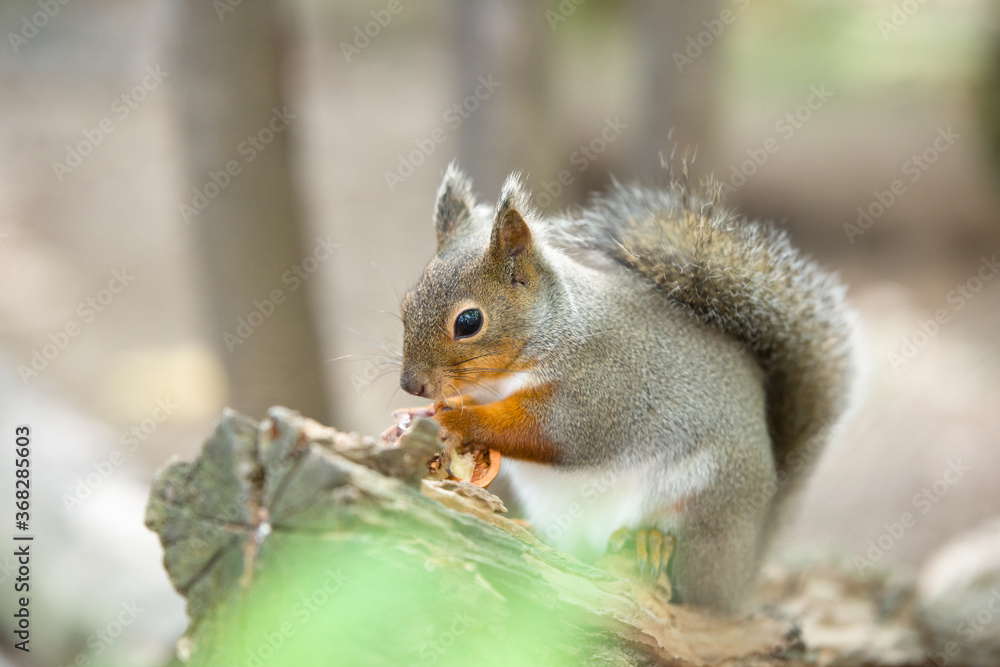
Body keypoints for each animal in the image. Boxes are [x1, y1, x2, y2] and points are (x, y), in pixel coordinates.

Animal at [398, 162, 856, 612]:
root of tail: (742, 575)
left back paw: (651, 546)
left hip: (704, 505)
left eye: (469, 322)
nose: (410, 385)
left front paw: (459, 421)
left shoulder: (598, 389)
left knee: (692, 586)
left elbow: (552, 434)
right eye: (405, 306)